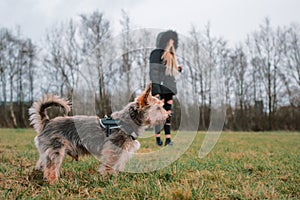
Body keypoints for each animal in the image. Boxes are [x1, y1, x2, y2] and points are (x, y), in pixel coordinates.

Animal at [29, 83, 169, 184]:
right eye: (158, 108)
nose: (168, 115)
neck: (129, 120)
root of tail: (47, 122)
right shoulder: (113, 150)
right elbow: (110, 165)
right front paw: (109, 179)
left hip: (49, 150)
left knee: (43, 163)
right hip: (56, 150)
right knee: (51, 168)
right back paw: (53, 181)